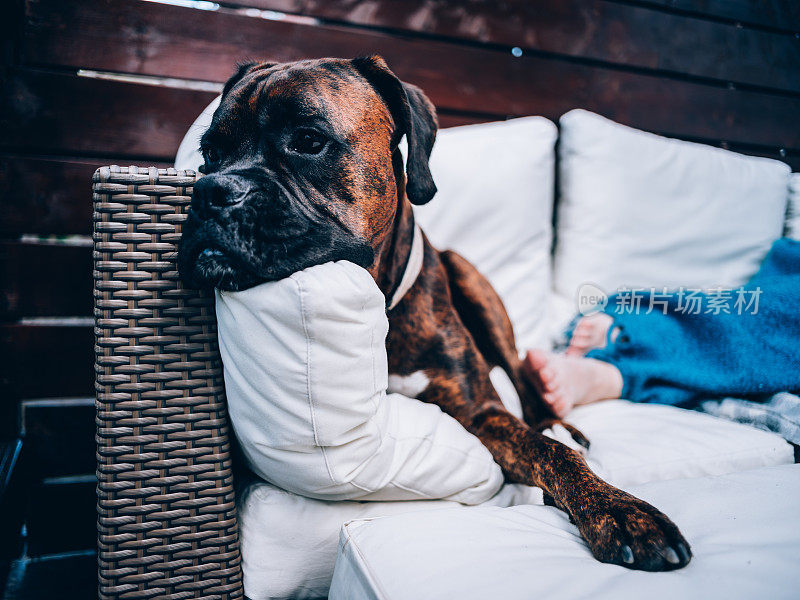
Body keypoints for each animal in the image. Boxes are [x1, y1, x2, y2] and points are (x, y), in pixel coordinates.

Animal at [178, 56, 692, 572]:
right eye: (210, 155)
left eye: (307, 140)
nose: (209, 191)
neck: (382, 306)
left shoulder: (481, 412)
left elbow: (550, 451)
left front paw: (620, 510)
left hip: (472, 280)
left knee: (525, 381)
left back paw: (558, 421)